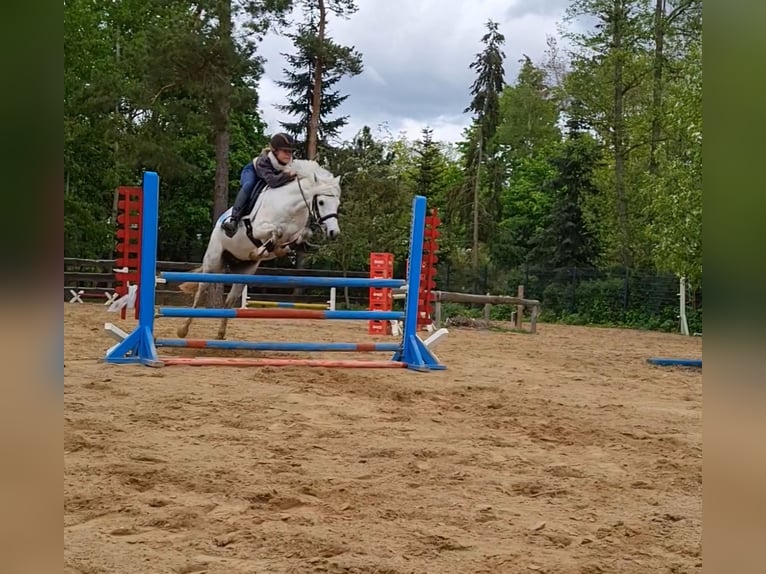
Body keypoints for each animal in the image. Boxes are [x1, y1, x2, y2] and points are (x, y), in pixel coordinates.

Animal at [176, 160, 344, 342]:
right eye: (321, 202)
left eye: (337, 204)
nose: (334, 233)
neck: (291, 207)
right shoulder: (258, 229)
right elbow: (276, 232)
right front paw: (262, 250)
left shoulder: (296, 233)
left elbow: (300, 236)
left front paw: (281, 250)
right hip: (212, 263)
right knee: (200, 292)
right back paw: (183, 330)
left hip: (244, 271)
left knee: (230, 300)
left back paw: (220, 334)